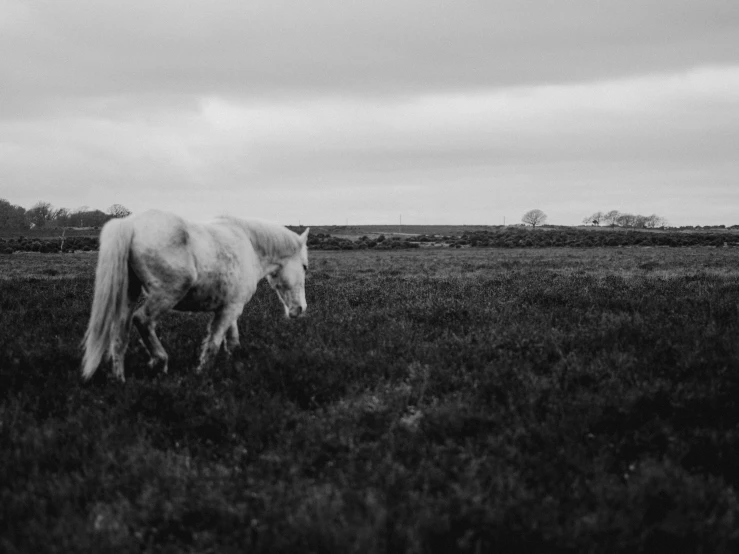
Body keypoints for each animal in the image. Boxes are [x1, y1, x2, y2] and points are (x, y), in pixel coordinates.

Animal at [81, 209, 310, 382]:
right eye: (305, 267)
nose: (300, 309)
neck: (249, 245)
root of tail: (130, 225)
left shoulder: (229, 308)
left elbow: (232, 341)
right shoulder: (230, 308)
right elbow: (213, 344)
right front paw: (201, 374)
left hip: (129, 294)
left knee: (120, 334)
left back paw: (120, 379)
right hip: (168, 293)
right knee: (142, 320)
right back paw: (159, 361)